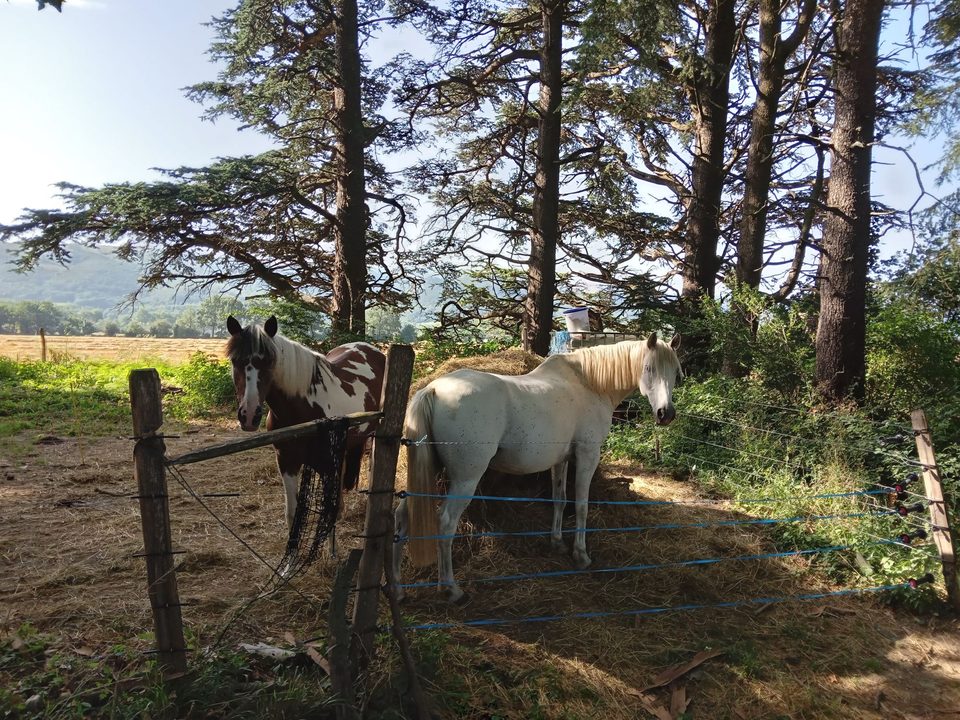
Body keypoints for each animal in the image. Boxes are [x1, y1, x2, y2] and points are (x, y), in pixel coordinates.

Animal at [225, 315, 386, 534]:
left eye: (269, 362)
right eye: (235, 361)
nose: (249, 416)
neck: (303, 409)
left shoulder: (327, 464)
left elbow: (329, 513)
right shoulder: (287, 461)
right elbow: (292, 515)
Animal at [394, 332, 682, 603]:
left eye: (675, 371)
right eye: (649, 368)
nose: (665, 414)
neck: (589, 383)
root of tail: (433, 390)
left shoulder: (561, 460)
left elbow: (559, 499)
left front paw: (557, 543)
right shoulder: (587, 455)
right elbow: (581, 506)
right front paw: (581, 555)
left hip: (431, 471)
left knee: (402, 516)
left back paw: (398, 590)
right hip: (465, 479)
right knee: (445, 522)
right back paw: (451, 590)